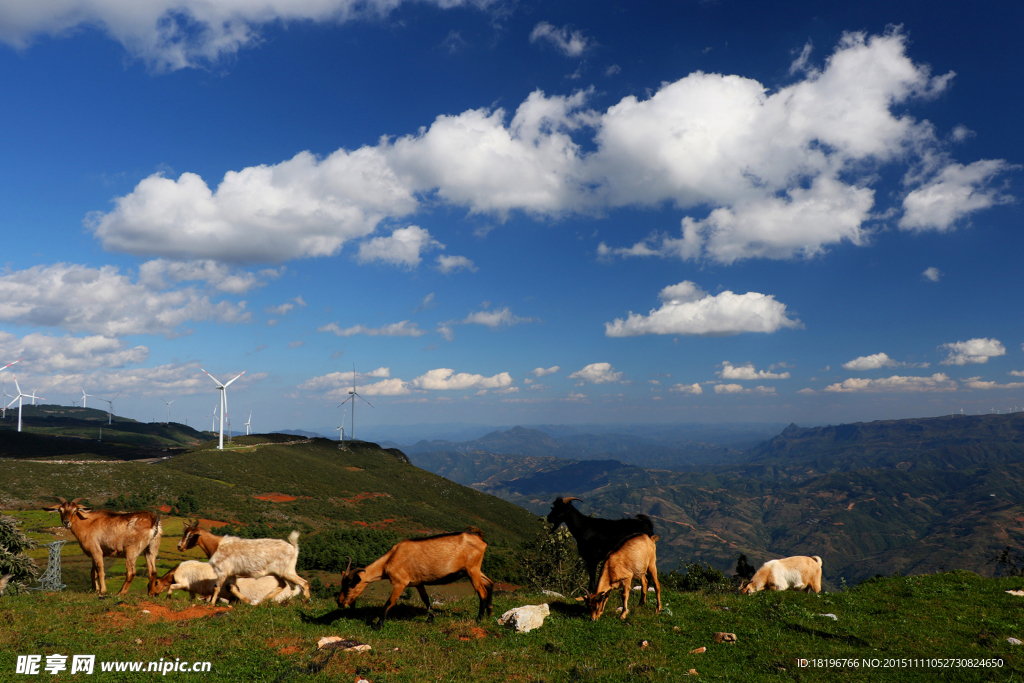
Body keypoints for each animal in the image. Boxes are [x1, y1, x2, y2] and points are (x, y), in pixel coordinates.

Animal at [178, 520, 309, 606]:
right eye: (184, 533)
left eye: (190, 535)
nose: (179, 547)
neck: (216, 546)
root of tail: (293, 547)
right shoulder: (231, 574)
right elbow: (233, 588)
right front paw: (246, 601)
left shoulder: (222, 570)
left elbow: (216, 587)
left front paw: (211, 603)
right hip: (277, 572)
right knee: (282, 584)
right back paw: (265, 599)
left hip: (287, 570)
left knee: (304, 582)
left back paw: (306, 601)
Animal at [337, 528, 493, 630]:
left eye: (350, 585)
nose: (340, 602)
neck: (390, 559)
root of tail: (480, 540)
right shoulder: (418, 582)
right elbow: (426, 599)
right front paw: (430, 618)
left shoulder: (401, 582)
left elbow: (389, 602)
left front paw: (378, 625)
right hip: (474, 569)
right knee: (490, 583)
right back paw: (490, 612)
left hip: (472, 569)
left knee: (482, 591)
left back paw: (479, 619)